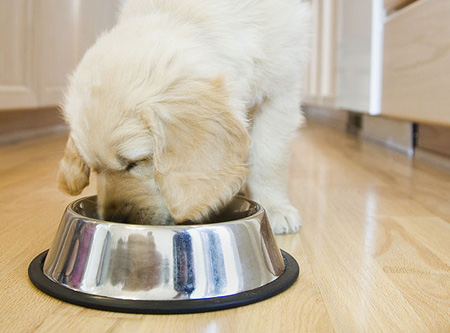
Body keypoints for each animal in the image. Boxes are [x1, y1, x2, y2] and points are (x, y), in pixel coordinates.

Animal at [56, 0, 312, 233]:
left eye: (134, 162)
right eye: (94, 169)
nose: (115, 220)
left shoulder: (279, 93)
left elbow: (269, 160)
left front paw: (275, 207)